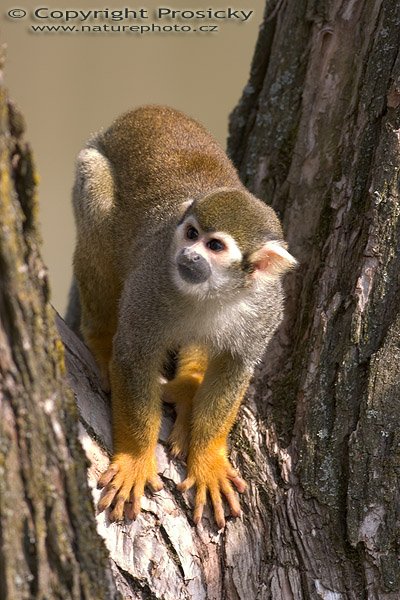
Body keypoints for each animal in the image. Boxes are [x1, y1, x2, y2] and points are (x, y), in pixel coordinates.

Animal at [67, 105, 296, 528]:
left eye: (215, 245)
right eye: (190, 234)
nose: (188, 256)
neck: (215, 292)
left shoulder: (266, 306)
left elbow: (233, 369)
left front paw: (208, 459)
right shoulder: (152, 278)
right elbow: (134, 357)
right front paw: (136, 459)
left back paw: (189, 385)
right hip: (91, 168)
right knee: (98, 231)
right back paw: (100, 342)